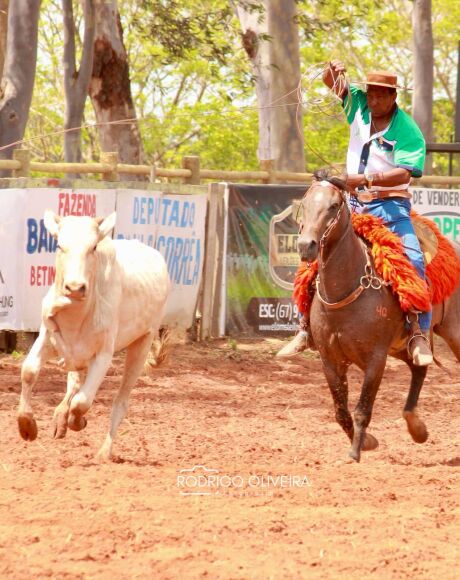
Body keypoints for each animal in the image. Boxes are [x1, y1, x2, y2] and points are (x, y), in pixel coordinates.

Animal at [16, 211, 171, 460]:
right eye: (59, 245)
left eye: (93, 247)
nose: (75, 287)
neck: (77, 315)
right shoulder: (47, 338)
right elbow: (29, 372)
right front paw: (27, 426)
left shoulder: (103, 355)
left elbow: (82, 402)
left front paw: (78, 421)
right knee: (74, 383)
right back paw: (60, 417)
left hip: (143, 342)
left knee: (120, 401)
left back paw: (104, 451)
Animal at [296, 174, 458, 460]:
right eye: (304, 203)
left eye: (334, 206)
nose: (306, 246)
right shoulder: (330, 360)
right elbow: (340, 411)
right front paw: (368, 442)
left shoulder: (376, 359)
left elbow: (363, 408)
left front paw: (356, 452)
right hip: (402, 345)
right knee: (418, 368)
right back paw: (417, 428)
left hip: (453, 331)